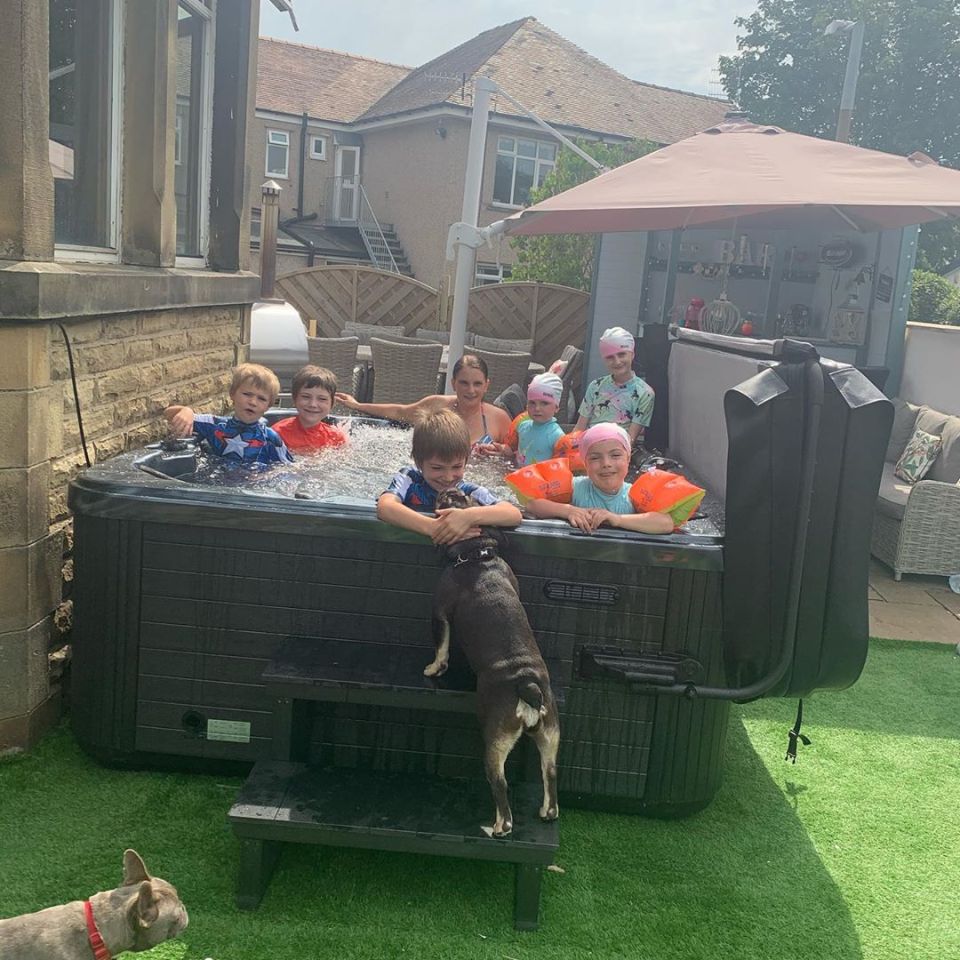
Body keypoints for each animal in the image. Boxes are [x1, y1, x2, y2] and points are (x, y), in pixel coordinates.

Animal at [424, 492, 560, 836]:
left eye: (452, 500)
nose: (449, 492)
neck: (477, 555)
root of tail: (527, 685)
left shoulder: (439, 613)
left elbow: (441, 647)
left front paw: (433, 669)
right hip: (550, 734)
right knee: (550, 774)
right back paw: (547, 812)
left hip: (495, 741)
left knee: (500, 785)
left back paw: (500, 826)